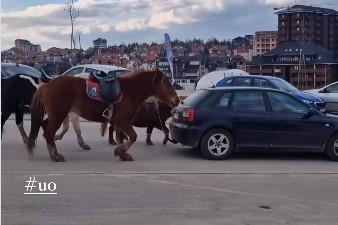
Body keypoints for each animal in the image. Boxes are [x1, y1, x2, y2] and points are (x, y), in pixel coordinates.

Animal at [26, 69, 180, 162]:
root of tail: (47, 85)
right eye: (166, 83)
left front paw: (122, 153)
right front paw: (120, 151)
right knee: (49, 132)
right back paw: (55, 155)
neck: (130, 91)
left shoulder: (119, 123)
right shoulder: (122, 121)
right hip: (59, 114)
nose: (177, 100)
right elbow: (133, 136)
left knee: (45, 127)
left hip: (56, 115)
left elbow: (121, 137)